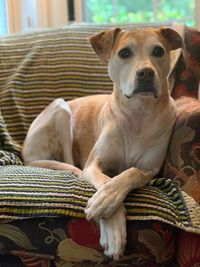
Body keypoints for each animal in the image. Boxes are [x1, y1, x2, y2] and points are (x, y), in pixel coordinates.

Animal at [21, 26, 182, 260]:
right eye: (125, 53)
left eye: (158, 51)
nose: (146, 72)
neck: (139, 113)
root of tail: (24, 151)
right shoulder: (94, 164)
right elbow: (106, 181)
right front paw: (110, 217)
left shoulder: (150, 171)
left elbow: (132, 172)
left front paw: (107, 201)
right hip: (61, 109)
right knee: (71, 162)